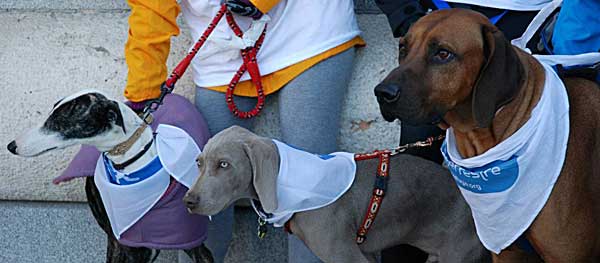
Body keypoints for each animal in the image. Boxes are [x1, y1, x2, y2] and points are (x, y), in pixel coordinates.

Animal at [184, 127, 492, 262]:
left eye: (224, 164)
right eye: (198, 162)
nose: (189, 201)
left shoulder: (345, 255)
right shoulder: (364, 253)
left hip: (457, 253)